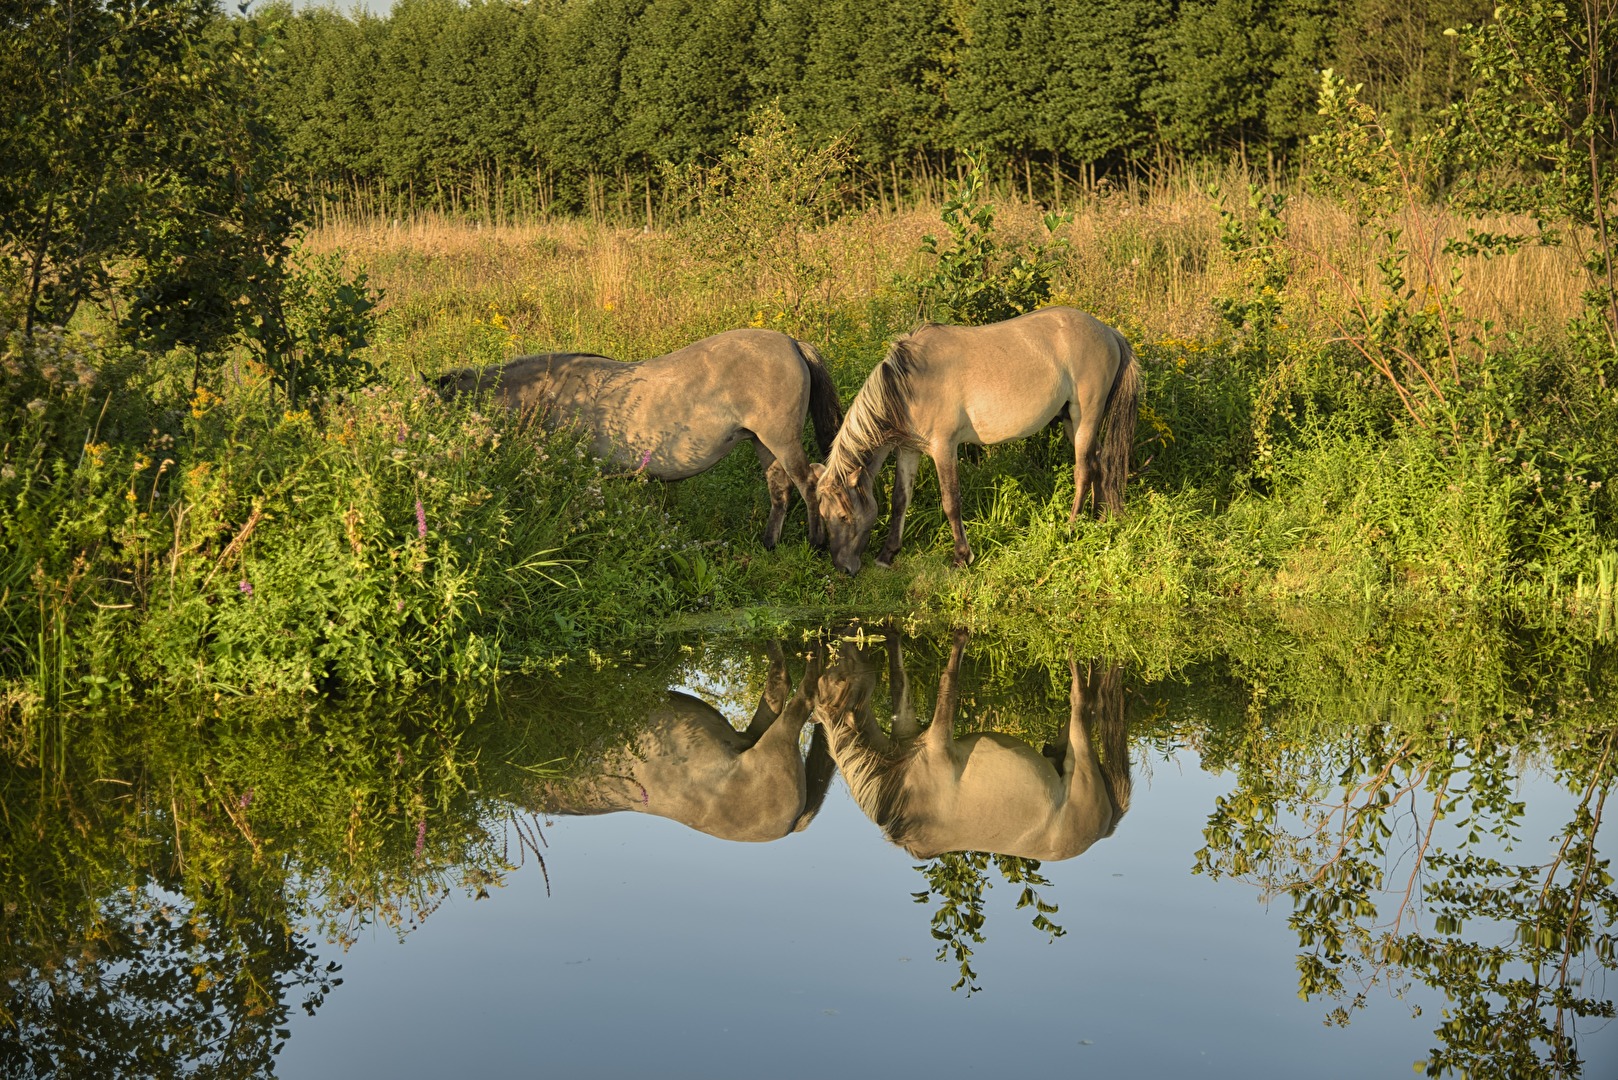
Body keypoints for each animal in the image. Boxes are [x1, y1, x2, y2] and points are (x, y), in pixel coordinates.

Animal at [443, 327, 847, 550]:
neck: (550, 392)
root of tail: (792, 343)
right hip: (762, 442)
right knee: (780, 489)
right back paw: (769, 544)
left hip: (781, 440)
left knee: (809, 482)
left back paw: (816, 543)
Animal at [805, 306, 1139, 573]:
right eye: (824, 515)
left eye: (845, 516)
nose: (844, 568)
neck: (909, 384)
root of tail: (1109, 332)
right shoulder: (908, 450)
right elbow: (901, 500)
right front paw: (887, 554)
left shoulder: (944, 448)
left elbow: (951, 501)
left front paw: (961, 557)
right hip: (1072, 421)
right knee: (1097, 463)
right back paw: (1098, 518)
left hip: (1086, 417)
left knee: (1083, 470)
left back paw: (1070, 528)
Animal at [815, 634, 1132, 861]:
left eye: (836, 680)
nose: (841, 643)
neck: (895, 786)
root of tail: (1105, 830)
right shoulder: (926, 737)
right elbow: (933, 680)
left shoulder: (922, 735)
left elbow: (916, 678)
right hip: (1075, 755)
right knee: (1085, 702)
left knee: (1086, 701)